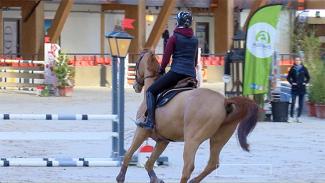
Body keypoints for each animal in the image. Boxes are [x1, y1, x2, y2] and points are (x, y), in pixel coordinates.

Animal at [116, 49, 258, 183]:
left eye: (137, 62)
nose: (135, 86)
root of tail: (224, 101)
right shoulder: (163, 140)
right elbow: (149, 162)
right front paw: (155, 179)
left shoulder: (141, 131)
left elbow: (128, 154)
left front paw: (120, 178)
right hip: (218, 139)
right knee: (213, 163)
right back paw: (194, 180)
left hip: (192, 140)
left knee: (188, 167)